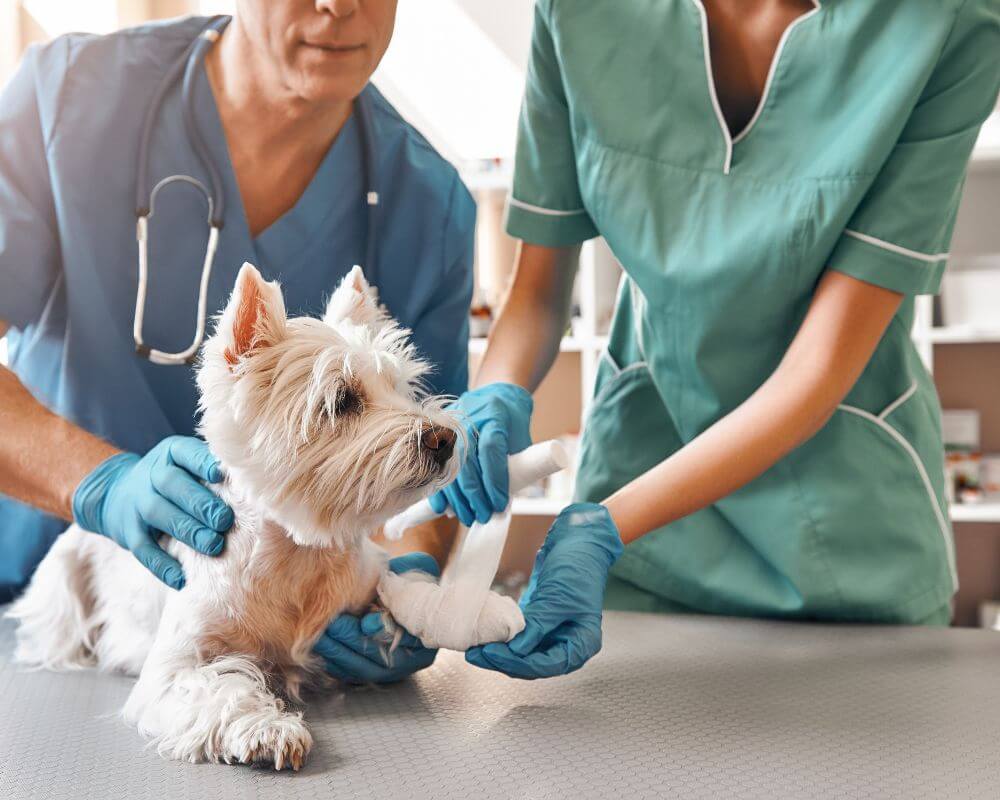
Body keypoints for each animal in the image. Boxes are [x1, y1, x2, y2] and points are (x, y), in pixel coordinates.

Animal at [6, 262, 460, 768]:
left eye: (401, 388)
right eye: (342, 400)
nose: (444, 438)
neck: (297, 558)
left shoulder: (366, 579)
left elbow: (401, 591)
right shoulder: (175, 667)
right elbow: (220, 690)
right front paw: (269, 730)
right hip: (63, 585)